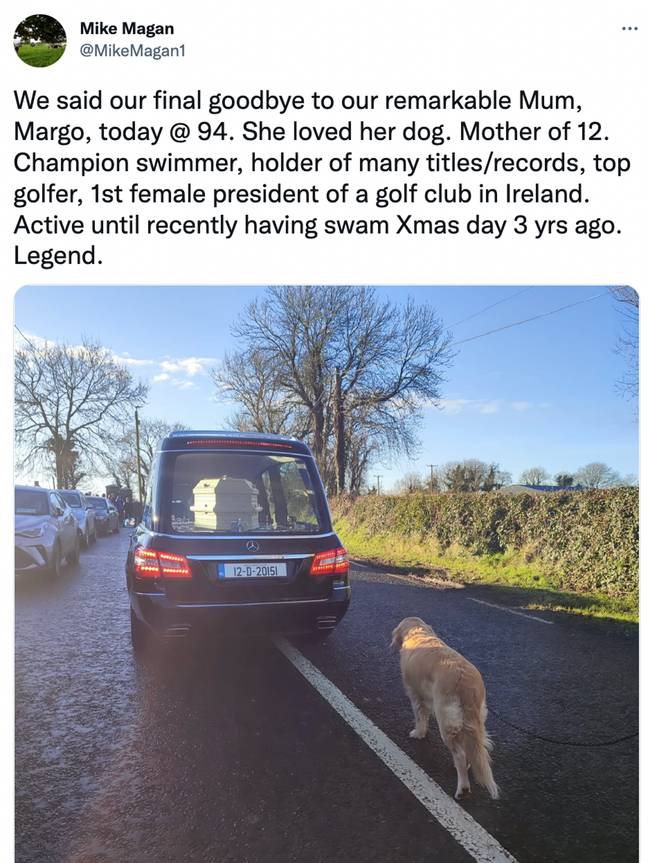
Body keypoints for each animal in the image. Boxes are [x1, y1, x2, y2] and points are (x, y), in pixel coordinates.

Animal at [390, 616, 502, 800]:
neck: (419, 633)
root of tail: (466, 683)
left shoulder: (415, 695)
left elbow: (420, 717)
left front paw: (418, 733)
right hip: (474, 718)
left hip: (446, 720)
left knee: (460, 754)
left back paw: (462, 788)